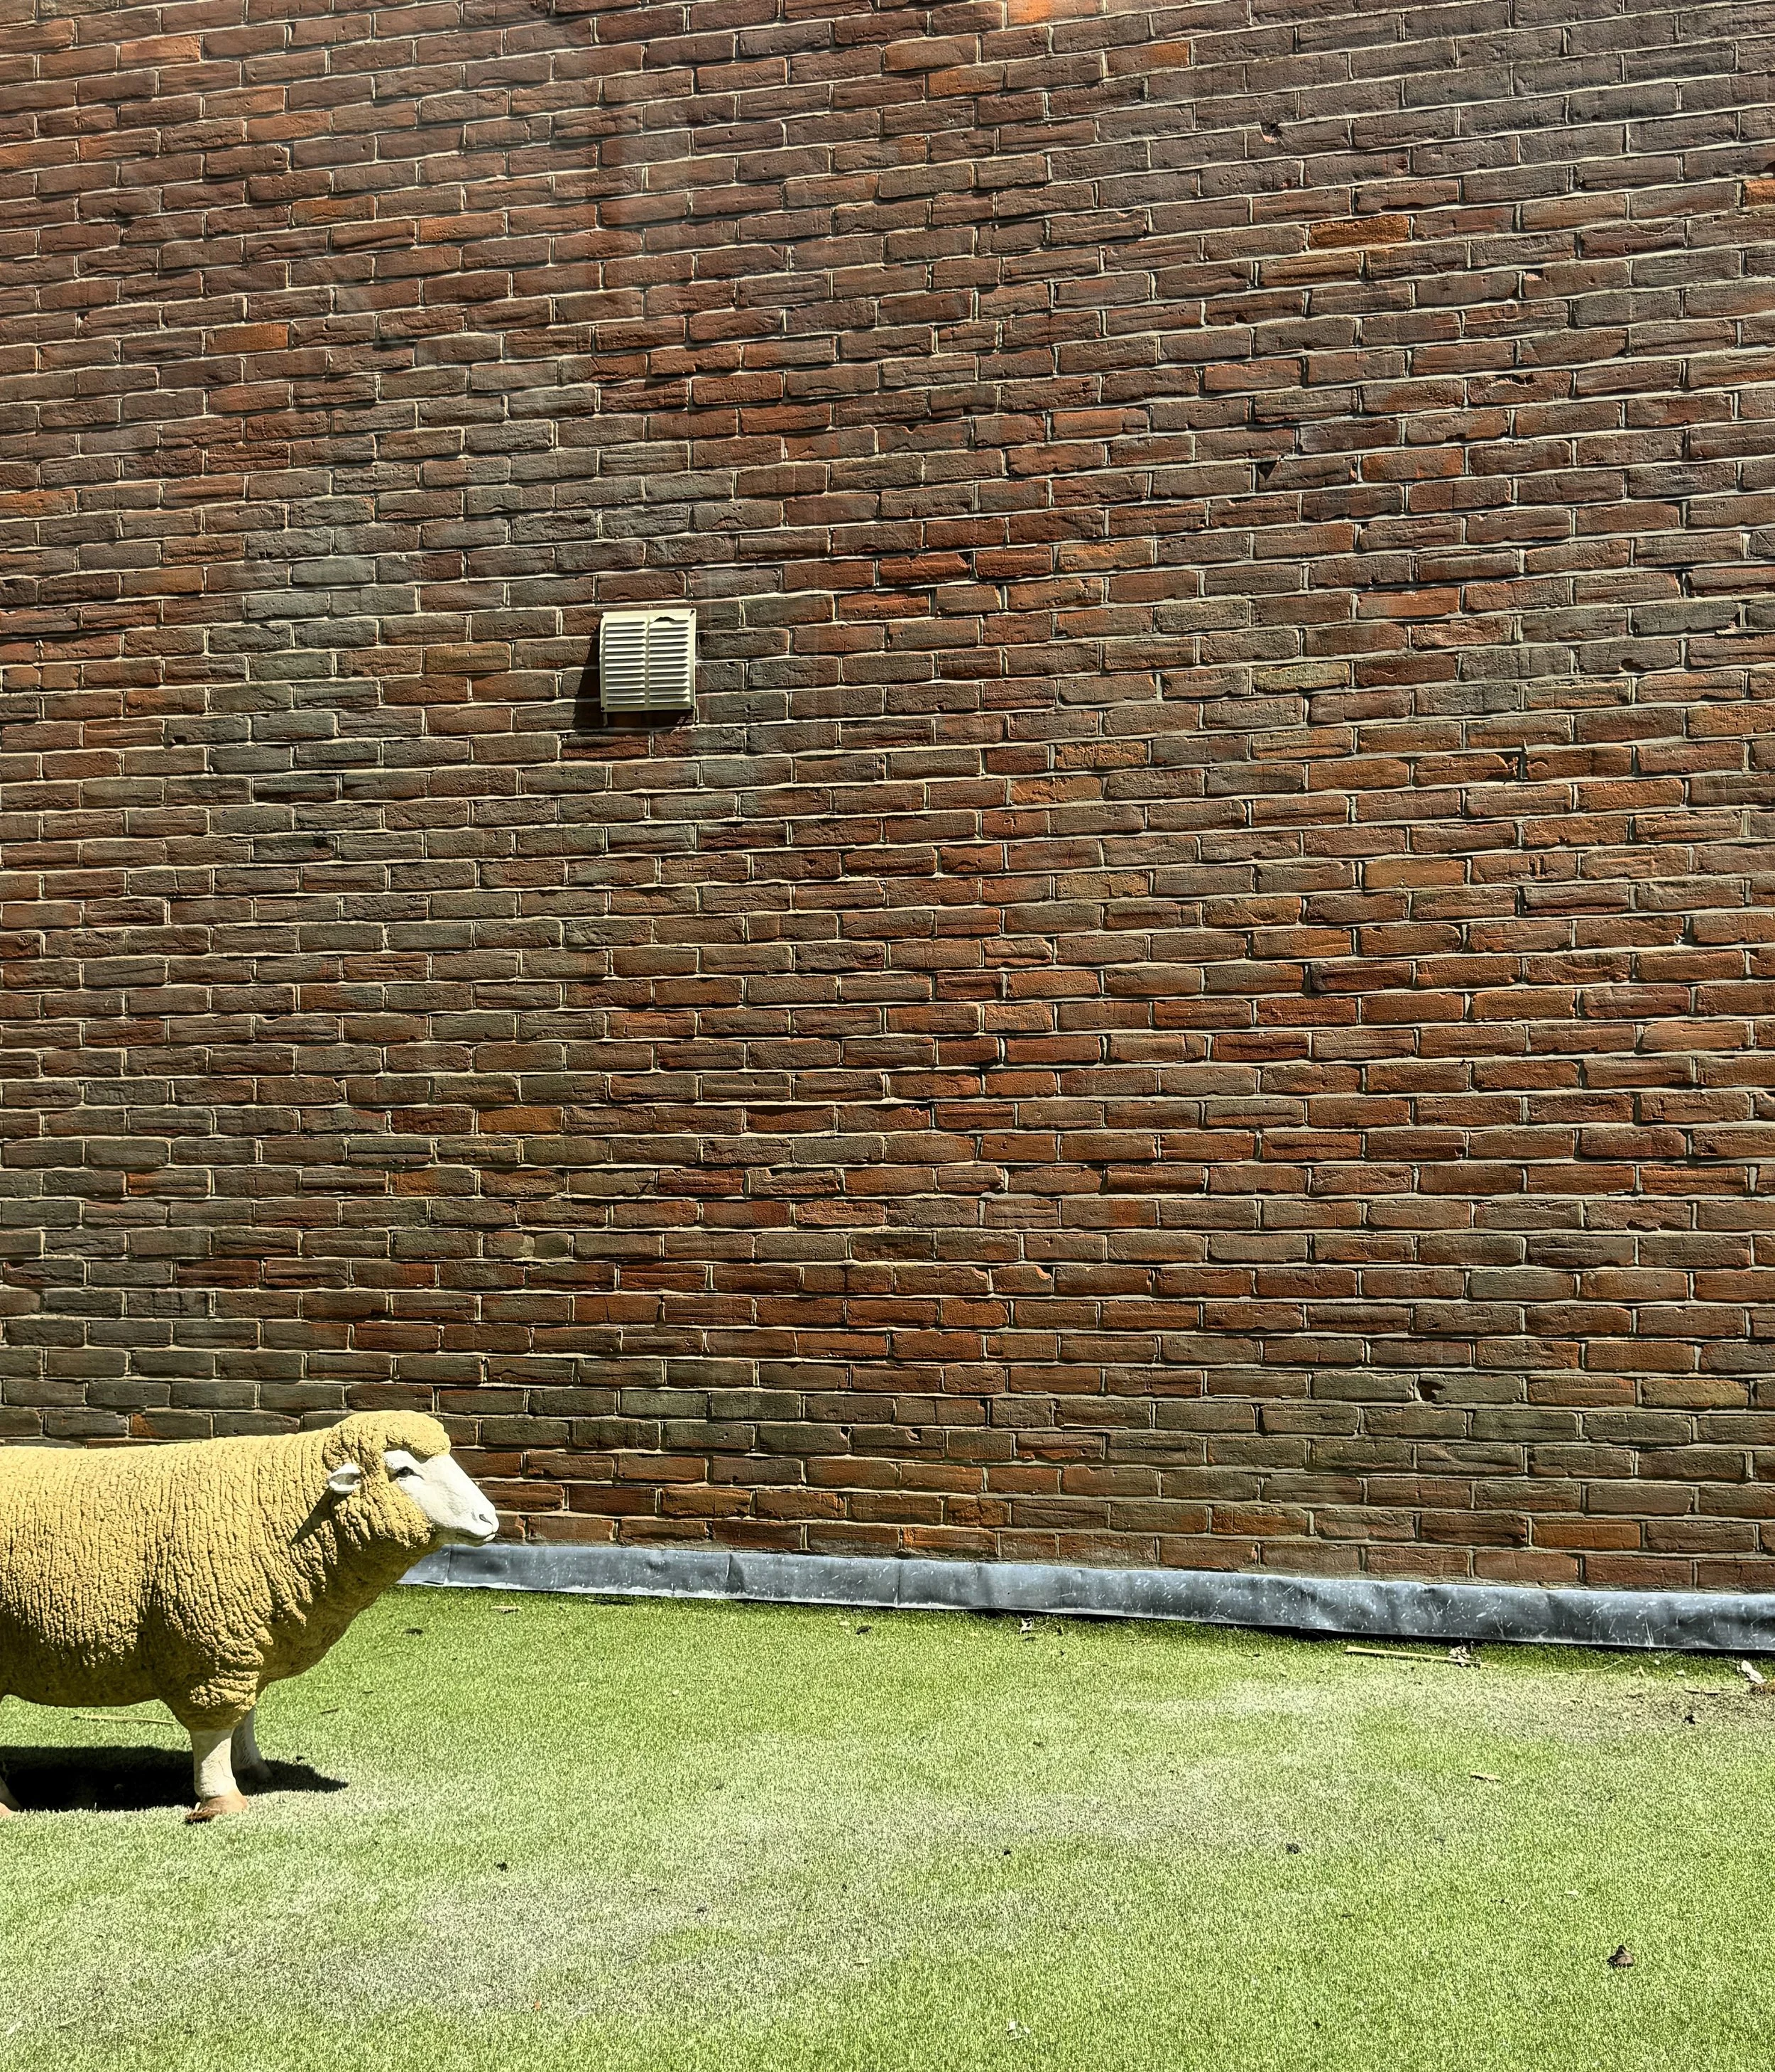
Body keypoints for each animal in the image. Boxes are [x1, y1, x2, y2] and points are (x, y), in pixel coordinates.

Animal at [0, 1411, 498, 1822]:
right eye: (403, 1471)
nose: (489, 1519)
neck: (284, 1510)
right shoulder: (210, 1646)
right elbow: (215, 1728)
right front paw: (220, 1798)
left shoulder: (243, 1643)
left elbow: (247, 1715)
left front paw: (253, 1768)